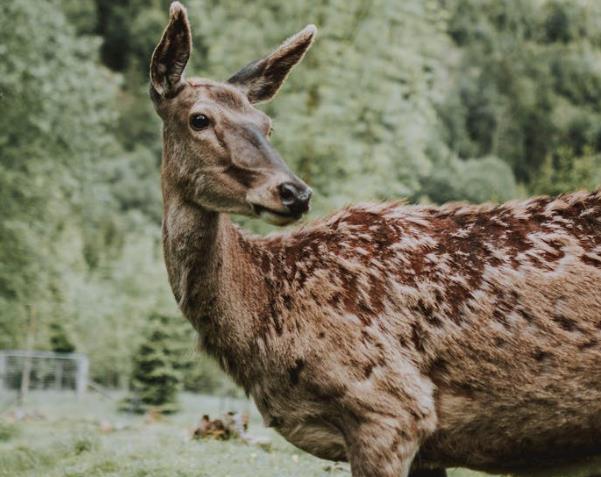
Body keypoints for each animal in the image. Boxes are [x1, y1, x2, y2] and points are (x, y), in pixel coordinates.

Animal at [152, 1, 600, 474]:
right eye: (199, 119)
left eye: (266, 124)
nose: (294, 192)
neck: (267, 313)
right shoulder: (426, 444)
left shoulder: (391, 406)